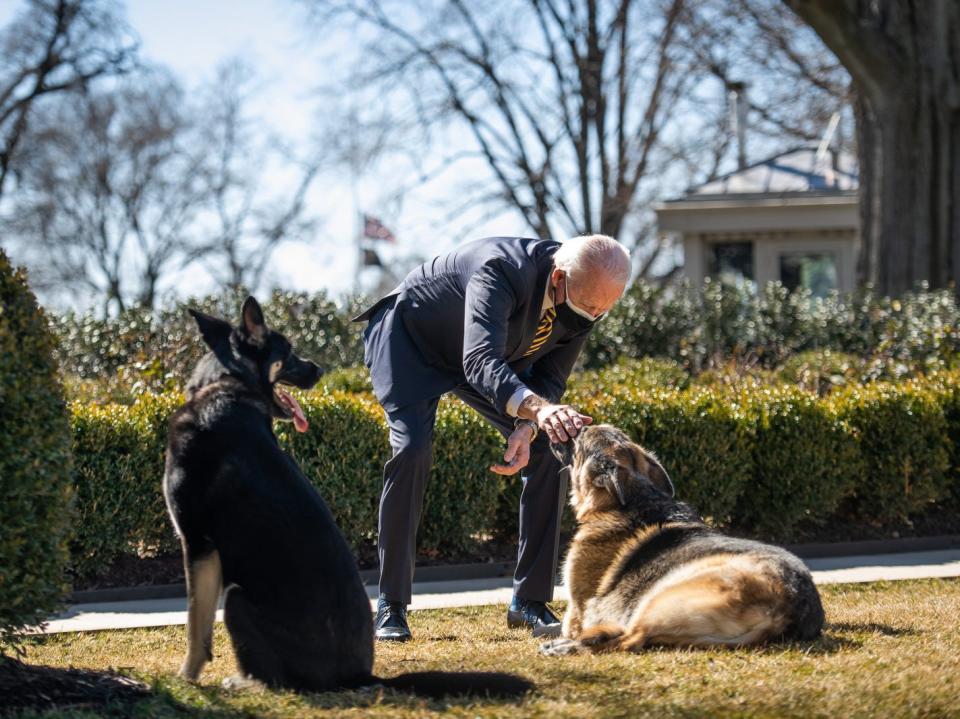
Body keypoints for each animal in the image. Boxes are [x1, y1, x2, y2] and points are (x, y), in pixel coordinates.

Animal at [163, 296, 532, 696]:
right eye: (288, 352)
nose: (320, 370)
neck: (226, 385)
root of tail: (359, 675)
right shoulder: (204, 548)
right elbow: (199, 627)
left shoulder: (197, 543)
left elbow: (195, 626)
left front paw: (185, 678)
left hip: (236, 599)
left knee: (279, 680)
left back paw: (244, 683)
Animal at [540, 428, 824, 660]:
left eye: (580, 437)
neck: (637, 498)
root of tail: (787, 608)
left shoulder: (576, 611)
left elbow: (571, 623)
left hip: (659, 599)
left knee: (630, 640)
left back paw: (566, 648)